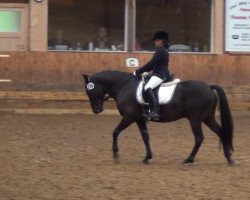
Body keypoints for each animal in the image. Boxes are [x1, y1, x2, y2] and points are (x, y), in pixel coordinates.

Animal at [82, 70, 234, 166]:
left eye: (90, 91)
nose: (96, 110)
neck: (124, 87)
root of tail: (209, 87)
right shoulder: (139, 119)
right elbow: (145, 137)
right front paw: (147, 158)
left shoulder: (129, 117)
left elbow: (115, 132)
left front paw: (116, 155)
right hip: (207, 117)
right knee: (221, 132)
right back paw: (229, 158)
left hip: (195, 119)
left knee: (199, 138)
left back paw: (189, 160)